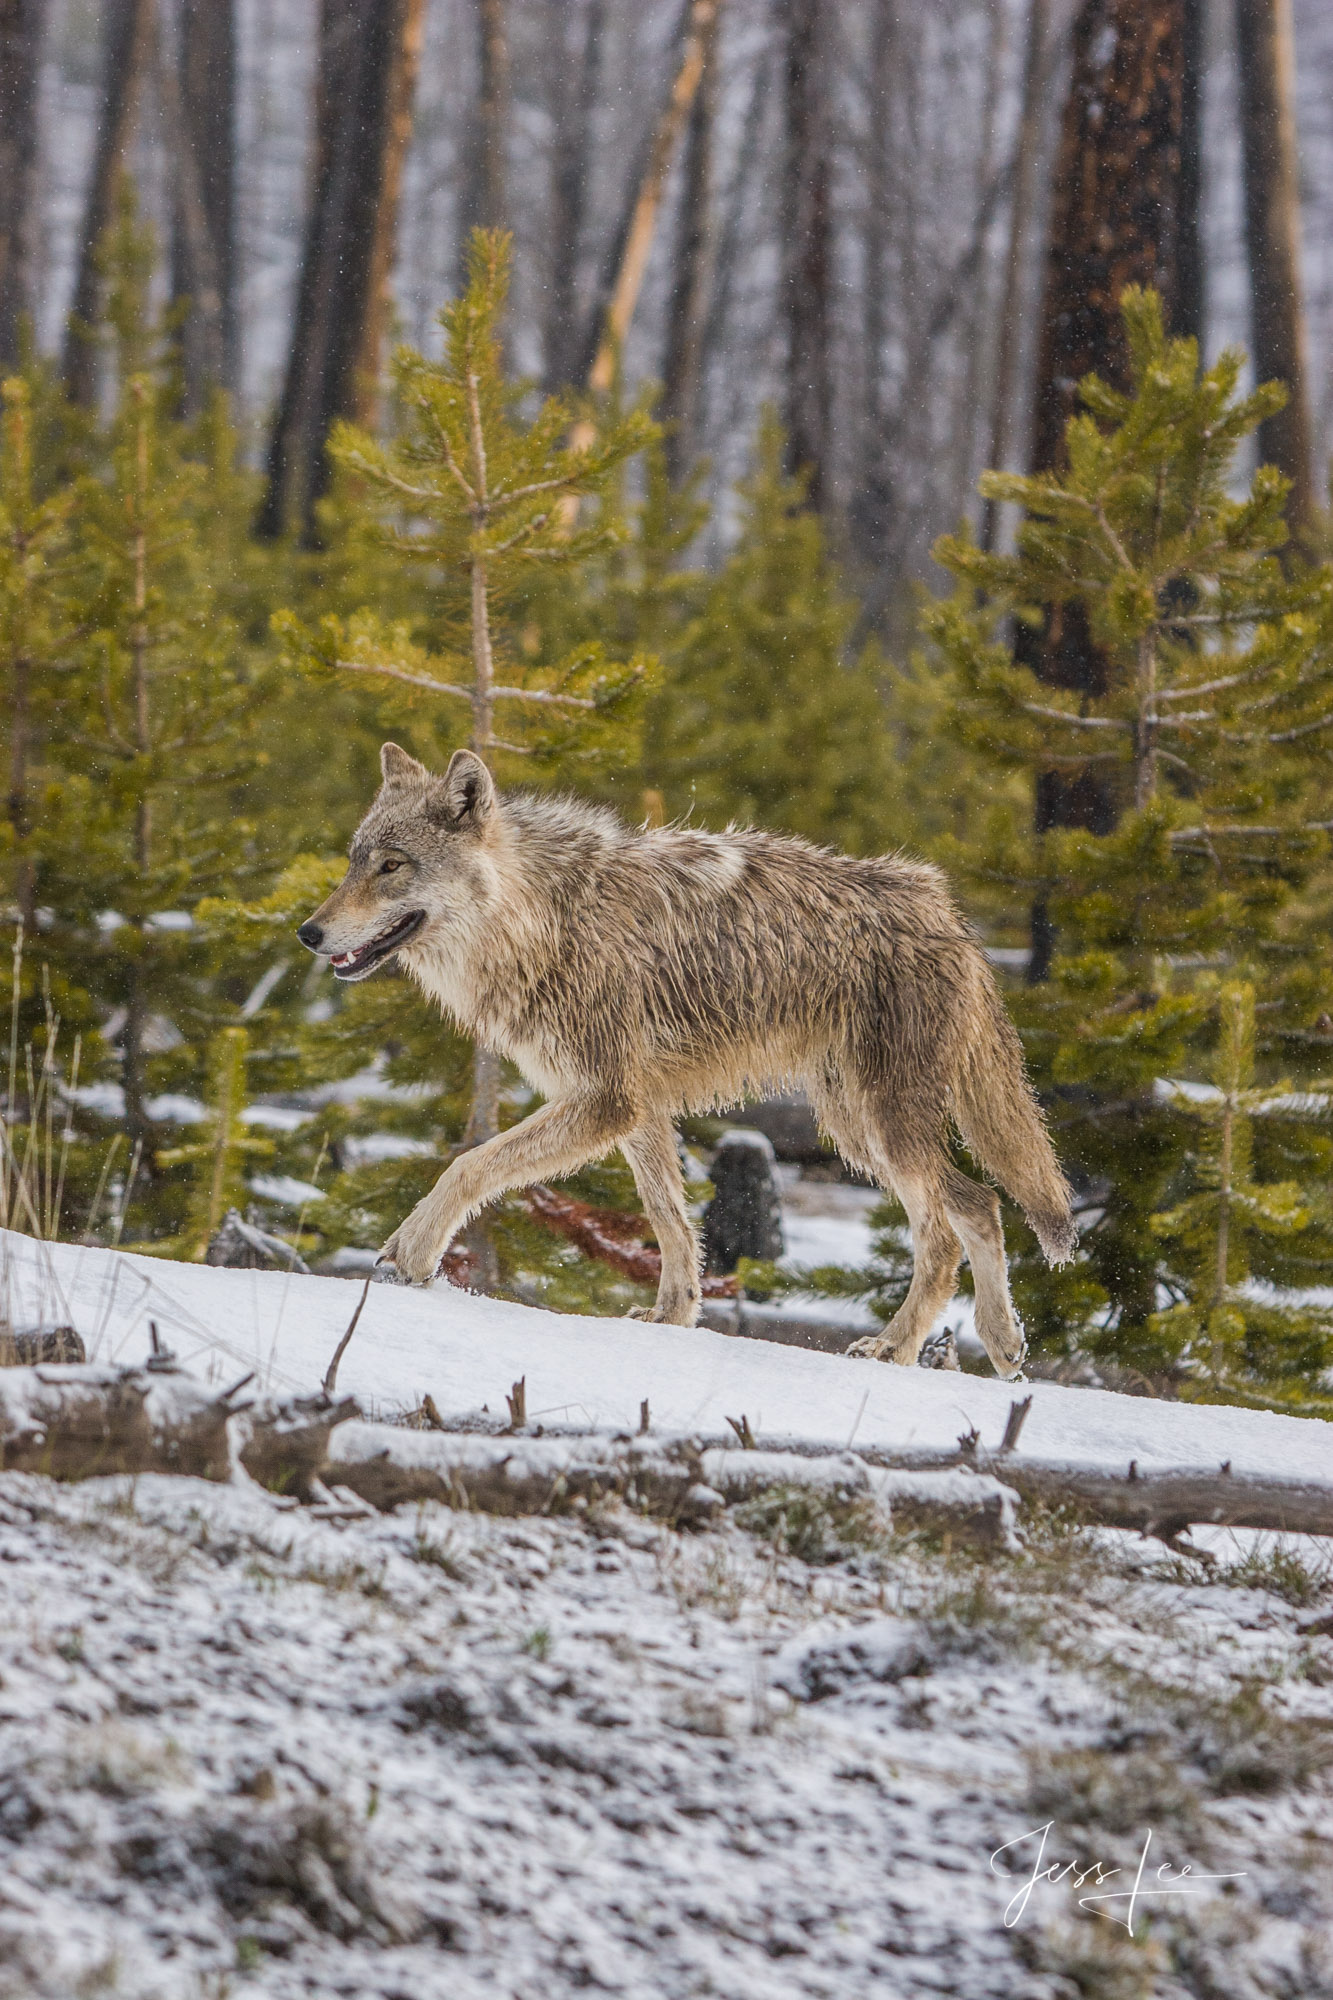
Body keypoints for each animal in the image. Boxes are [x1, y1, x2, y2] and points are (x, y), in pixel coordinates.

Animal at [296, 744, 1072, 1384]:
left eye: (391, 865)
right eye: (354, 861)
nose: (308, 931)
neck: (543, 920)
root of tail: (948, 912)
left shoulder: (603, 1100)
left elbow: (468, 1164)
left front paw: (412, 1252)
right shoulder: (639, 1108)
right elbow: (668, 1217)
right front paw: (673, 1318)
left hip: (880, 1129)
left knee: (944, 1233)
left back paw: (893, 1349)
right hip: (857, 1130)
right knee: (980, 1204)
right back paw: (1002, 1345)